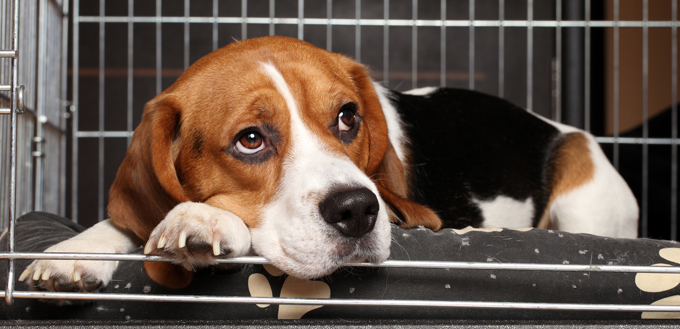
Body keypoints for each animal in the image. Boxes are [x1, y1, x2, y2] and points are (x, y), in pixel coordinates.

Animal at [19, 36, 636, 294]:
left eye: (347, 117)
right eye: (249, 140)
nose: (358, 210)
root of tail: (561, 128)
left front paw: (203, 219)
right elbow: (121, 223)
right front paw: (74, 253)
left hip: (585, 188)